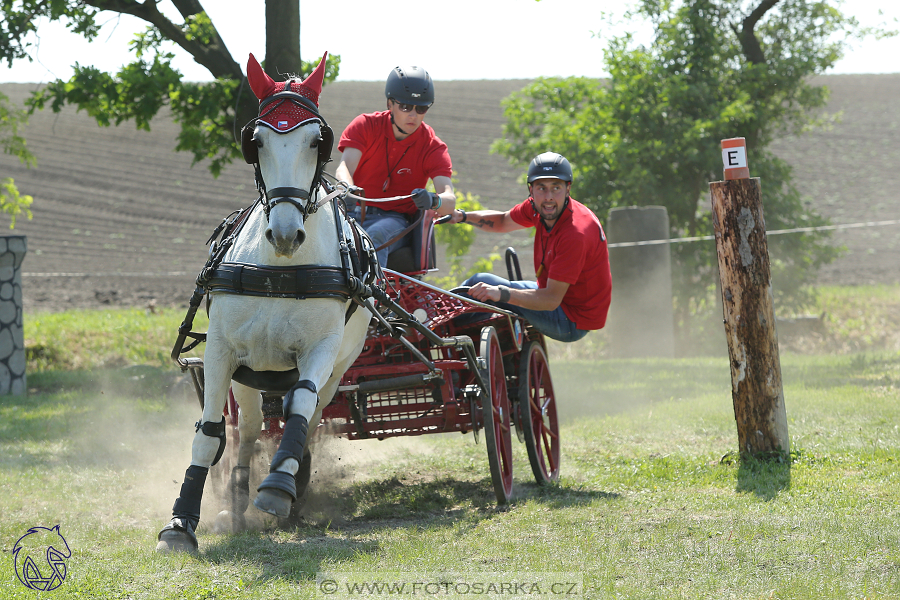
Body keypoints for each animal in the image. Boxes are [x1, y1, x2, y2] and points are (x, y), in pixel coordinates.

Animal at [157, 52, 370, 552]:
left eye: (317, 141)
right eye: (256, 141)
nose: (287, 234)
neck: (279, 270)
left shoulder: (321, 351)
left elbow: (301, 409)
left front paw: (277, 488)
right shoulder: (222, 352)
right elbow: (209, 434)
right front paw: (181, 522)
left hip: (338, 369)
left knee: (308, 417)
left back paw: (291, 487)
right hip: (249, 380)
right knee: (249, 430)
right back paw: (236, 502)